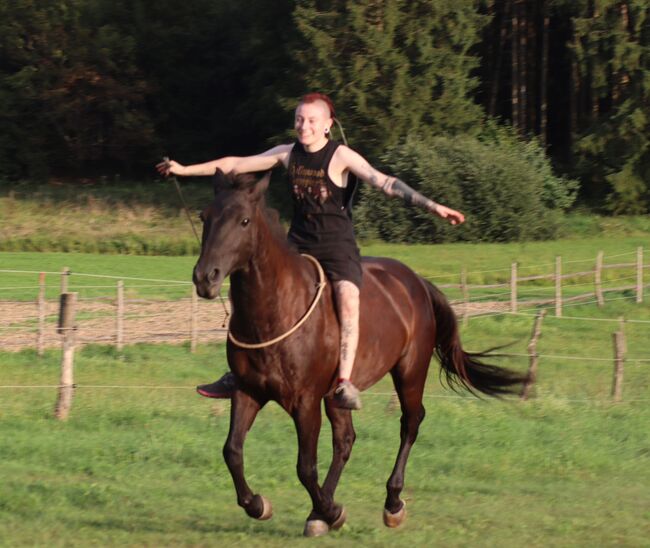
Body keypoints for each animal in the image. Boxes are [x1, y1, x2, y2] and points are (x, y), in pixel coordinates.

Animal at [192, 170, 528, 536]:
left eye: (244, 220)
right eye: (205, 217)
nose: (204, 277)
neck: (276, 310)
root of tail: (416, 282)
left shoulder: (305, 401)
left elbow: (304, 466)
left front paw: (332, 511)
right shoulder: (247, 391)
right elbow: (232, 451)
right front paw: (259, 504)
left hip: (410, 372)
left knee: (410, 423)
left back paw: (391, 503)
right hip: (337, 394)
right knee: (346, 440)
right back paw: (322, 511)